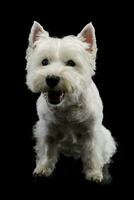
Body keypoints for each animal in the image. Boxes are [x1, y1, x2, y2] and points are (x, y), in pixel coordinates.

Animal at [25, 21, 116, 182]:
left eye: (71, 63)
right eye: (44, 62)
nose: (52, 78)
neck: (66, 107)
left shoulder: (92, 131)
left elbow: (93, 153)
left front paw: (94, 173)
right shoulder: (47, 130)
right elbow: (47, 151)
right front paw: (42, 169)